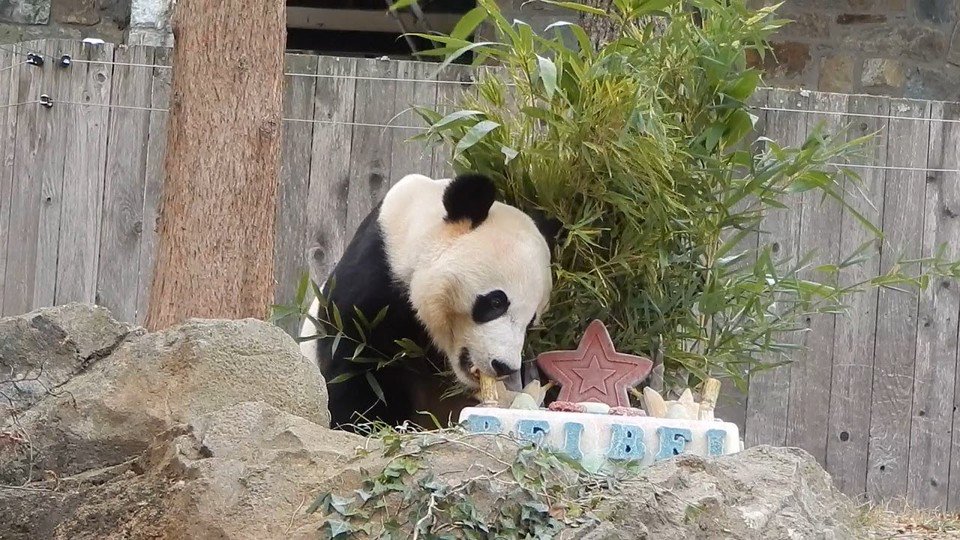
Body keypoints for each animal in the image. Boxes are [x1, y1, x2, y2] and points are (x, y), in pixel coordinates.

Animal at [299, 172, 561, 431]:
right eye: (496, 302)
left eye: (531, 323)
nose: (504, 366)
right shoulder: (374, 281)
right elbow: (358, 366)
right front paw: (368, 423)